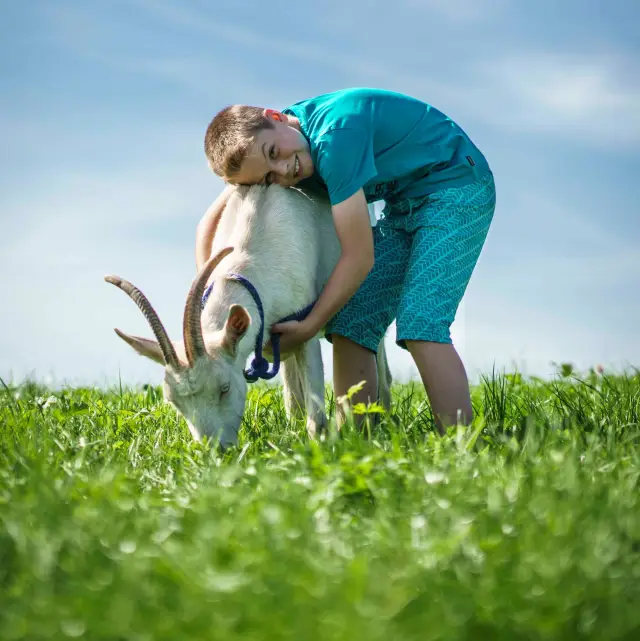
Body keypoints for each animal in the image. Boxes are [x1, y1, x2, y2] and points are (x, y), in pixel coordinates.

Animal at [106, 184, 391, 447]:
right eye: (173, 401)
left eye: (224, 388)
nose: (214, 451)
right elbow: (292, 401)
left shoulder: (305, 330)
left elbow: (316, 415)